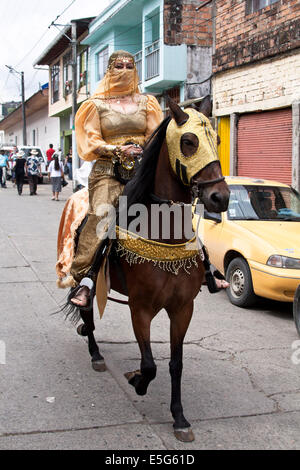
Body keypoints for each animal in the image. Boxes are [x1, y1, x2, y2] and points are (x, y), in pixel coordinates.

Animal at [75, 97, 230, 442]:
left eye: (217, 139)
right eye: (189, 142)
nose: (220, 197)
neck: (164, 232)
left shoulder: (182, 308)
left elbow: (175, 364)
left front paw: (180, 418)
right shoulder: (141, 307)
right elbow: (148, 364)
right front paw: (136, 381)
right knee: (86, 310)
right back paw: (95, 353)